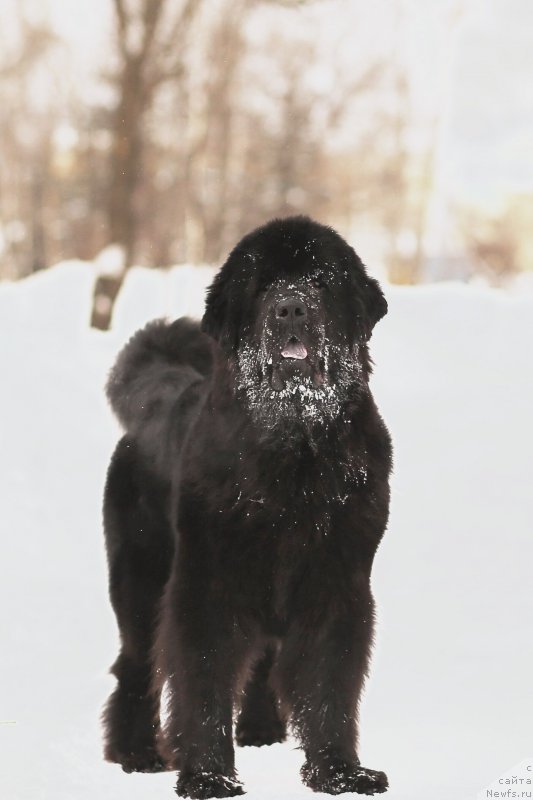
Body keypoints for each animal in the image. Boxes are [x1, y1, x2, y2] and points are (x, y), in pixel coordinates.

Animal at [102, 216, 390, 796]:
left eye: (320, 280)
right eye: (261, 286)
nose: (291, 308)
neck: (294, 450)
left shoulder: (338, 584)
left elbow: (330, 684)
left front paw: (340, 772)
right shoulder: (205, 587)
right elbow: (203, 682)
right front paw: (208, 776)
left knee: (262, 657)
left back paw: (260, 728)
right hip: (141, 581)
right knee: (136, 665)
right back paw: (136, 751)